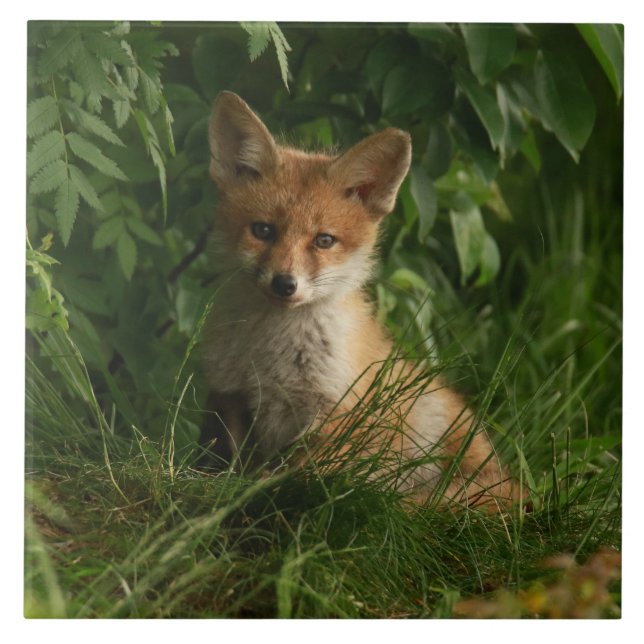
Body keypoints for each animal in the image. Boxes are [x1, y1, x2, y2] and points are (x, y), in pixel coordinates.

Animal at [201, 91, 520, 510]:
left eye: (324, 240)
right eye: (263, 230)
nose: (285, 284)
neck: (272, 356)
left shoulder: (338, 411)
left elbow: (296, 474)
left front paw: (267, 491)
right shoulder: (231, 395)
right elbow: (231, 462)